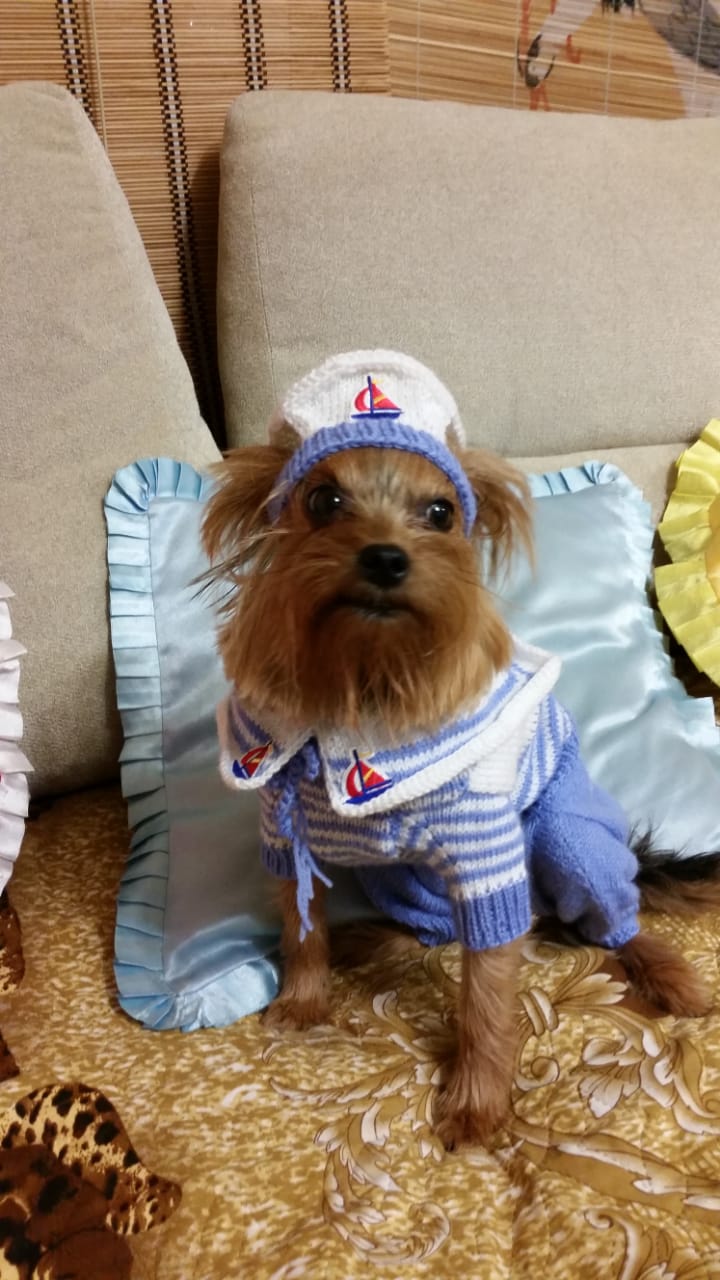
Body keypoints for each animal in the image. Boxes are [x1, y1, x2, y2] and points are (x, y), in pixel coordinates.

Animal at [203, 349, 715, 1151]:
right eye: (324, 500)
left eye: (441, 513)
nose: (386, 558)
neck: (360, 689)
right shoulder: (286, 837)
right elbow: (300, 925)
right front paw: (304, 997)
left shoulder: (486, 857)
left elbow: (486, 997)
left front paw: (477, 1100)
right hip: (398, 877)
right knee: (442, 930)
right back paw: (380, 942)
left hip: (571, 841)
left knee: (612, 918)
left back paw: (666, 971)